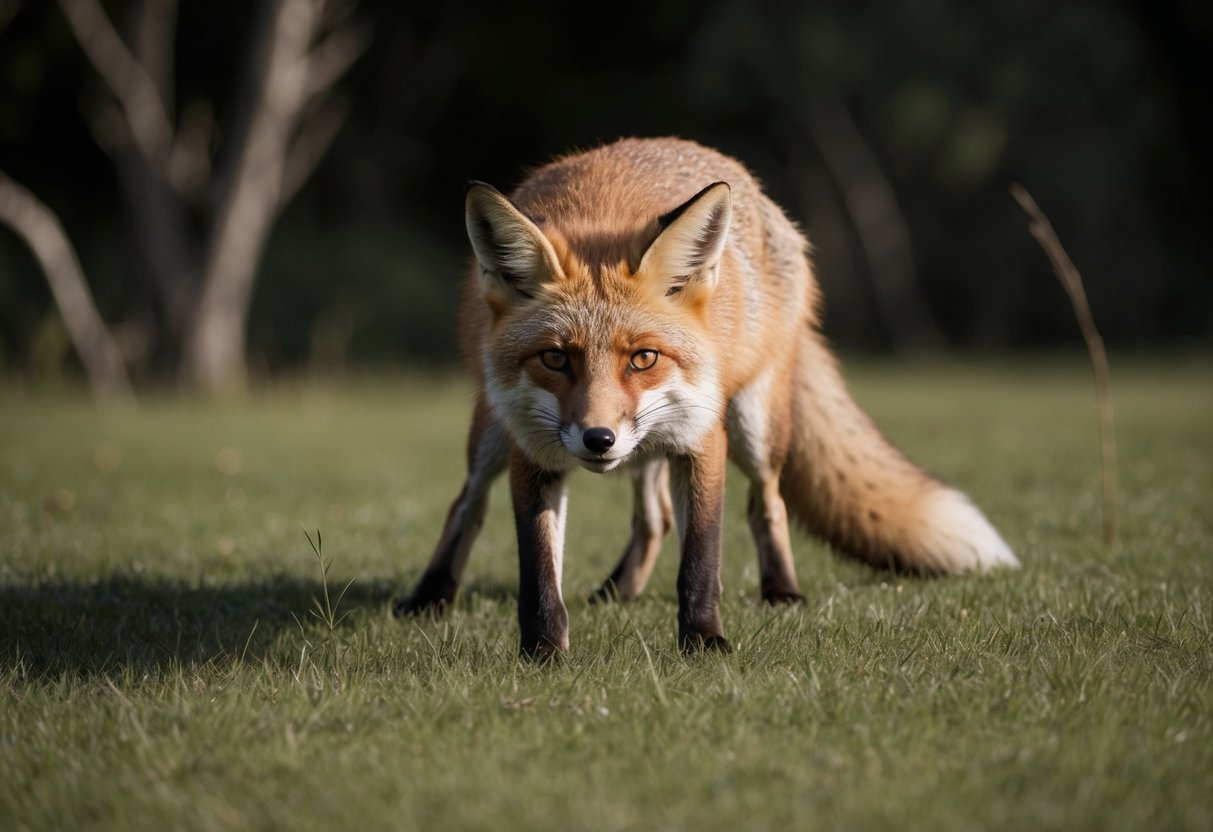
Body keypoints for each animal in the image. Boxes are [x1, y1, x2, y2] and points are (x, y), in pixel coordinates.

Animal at [394, 137, 1018, 658]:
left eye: (643, 358)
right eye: (554, 358)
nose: (598, 439)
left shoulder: (700, 440)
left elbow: (701, 556)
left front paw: (702, 641)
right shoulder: (531, 450)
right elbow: (538, 568)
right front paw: (544, 652)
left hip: (751, 425)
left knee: (763, 502)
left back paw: (780, 592)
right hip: (498, 431)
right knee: (479, 503)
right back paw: (444, 596)